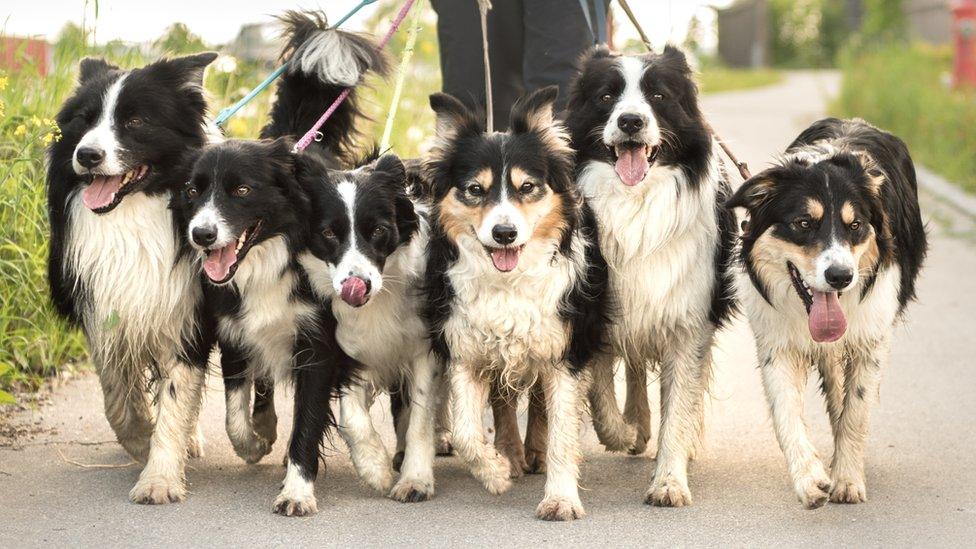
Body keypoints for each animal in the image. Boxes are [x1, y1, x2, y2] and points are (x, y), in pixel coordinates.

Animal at [46, 50, 219, 500]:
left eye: (136, 121)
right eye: (84, 120)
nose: (87, 155)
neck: (133, 214)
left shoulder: (185, 315)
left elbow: (176, 398)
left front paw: (159, 478)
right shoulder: (105, 307)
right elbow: (117, 394)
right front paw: (141, 441)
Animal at [298, 153, 446, 500]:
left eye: (379, 230)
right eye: (328, 233)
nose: (358, 286)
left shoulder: (424, 349)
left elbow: (421, 415)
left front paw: (415, 479)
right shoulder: (349, 350)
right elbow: (350, 415)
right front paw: (374, 468)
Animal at [426, 85, 608, 520]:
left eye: (527, 188)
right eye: (475, 190)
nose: (504, 233)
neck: (508, 282)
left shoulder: (566, 352)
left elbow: (562, 431)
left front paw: (560, 499)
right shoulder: (466, 349)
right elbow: (466, 432)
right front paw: (494, 473)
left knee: (540, 404)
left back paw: (534, 452)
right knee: (504, 401)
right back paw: (510, 453)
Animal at [564, 45, 740, 508]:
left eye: (659, 96)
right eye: (606, 97)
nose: (630, 121)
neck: (635, 203)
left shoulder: (688, 321)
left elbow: (679, 405)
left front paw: (669, 481)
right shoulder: (597, 311)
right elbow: (600, 392)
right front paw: (624, 433)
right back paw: (638, 424)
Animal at [728, 117, 928, 508]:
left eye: (855, 226)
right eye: (803, 223)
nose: (840, 277)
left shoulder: (871, 338)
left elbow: (856, 412)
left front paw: (847, 479)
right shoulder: (777, 342)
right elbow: (785, 412)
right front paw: (809, 478)